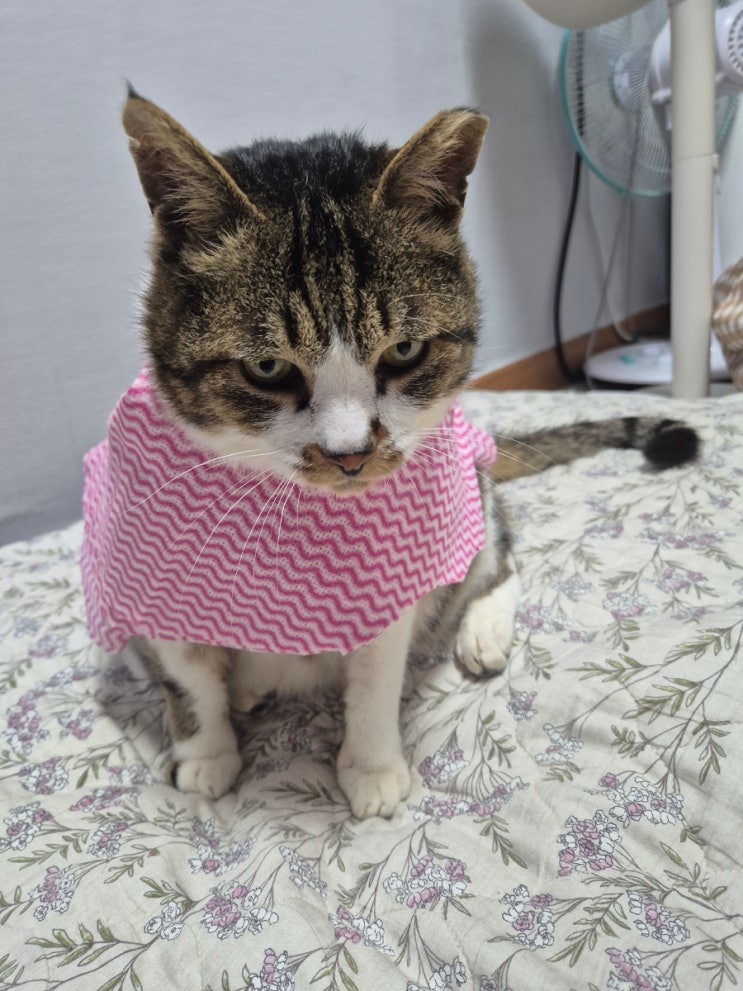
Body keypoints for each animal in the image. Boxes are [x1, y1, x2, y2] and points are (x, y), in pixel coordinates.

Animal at [81, 89, 699, 820]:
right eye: (266, 366)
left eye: (403, 351)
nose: (350, 453)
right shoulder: (151, 575)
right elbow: (184, 672)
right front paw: (205, 753)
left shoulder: (390, 579)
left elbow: (378, 671)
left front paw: (371, 767)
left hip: (470, 491)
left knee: (497, 551)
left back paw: (481, 628)